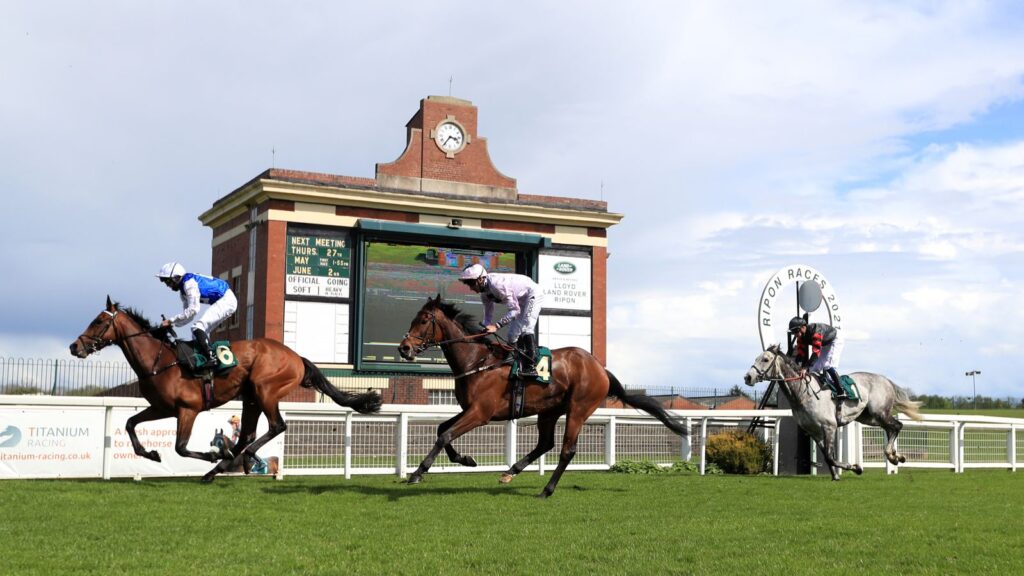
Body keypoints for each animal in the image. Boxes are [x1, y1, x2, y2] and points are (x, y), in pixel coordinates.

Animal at [69, 295, 380, 479]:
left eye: (98, 321)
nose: (74, 347)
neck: (161, 361)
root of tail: (296, 357)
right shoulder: (161, 407)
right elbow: (131, 423)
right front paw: (152, 454)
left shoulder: (188, 409)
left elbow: (181, 447)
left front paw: (209, 454)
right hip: (251, 398)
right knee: (247, 435)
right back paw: (220, 466)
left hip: (265, 390)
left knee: (276, 426)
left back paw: (238, 458)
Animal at [399, 293, 688, 496]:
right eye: (412, 319)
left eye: (423, 320)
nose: (404, 348)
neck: (477, 361)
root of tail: (600, 368)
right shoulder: (468, 409)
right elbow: (441, 429)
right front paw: (465, 460)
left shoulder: (481, 413)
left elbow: (445, 434)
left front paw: (417, 472)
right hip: (548, 411)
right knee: (545, 443)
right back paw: (510, 472)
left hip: (579, 409)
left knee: (566, 450)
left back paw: (547, 489)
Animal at [741, 342, 925, 477]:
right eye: (757, 358)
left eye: (765, 359)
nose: (748, 377)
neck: (803, 393)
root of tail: (885, 380)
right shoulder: (813, 431)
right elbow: (828, 458)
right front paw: (840, 473)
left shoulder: (829, 426)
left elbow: (830, 456)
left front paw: (855, 468)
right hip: (868, 417)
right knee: (891, 428)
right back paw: (896, 456)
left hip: (879, 412)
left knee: (897, 426)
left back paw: (892, 456)